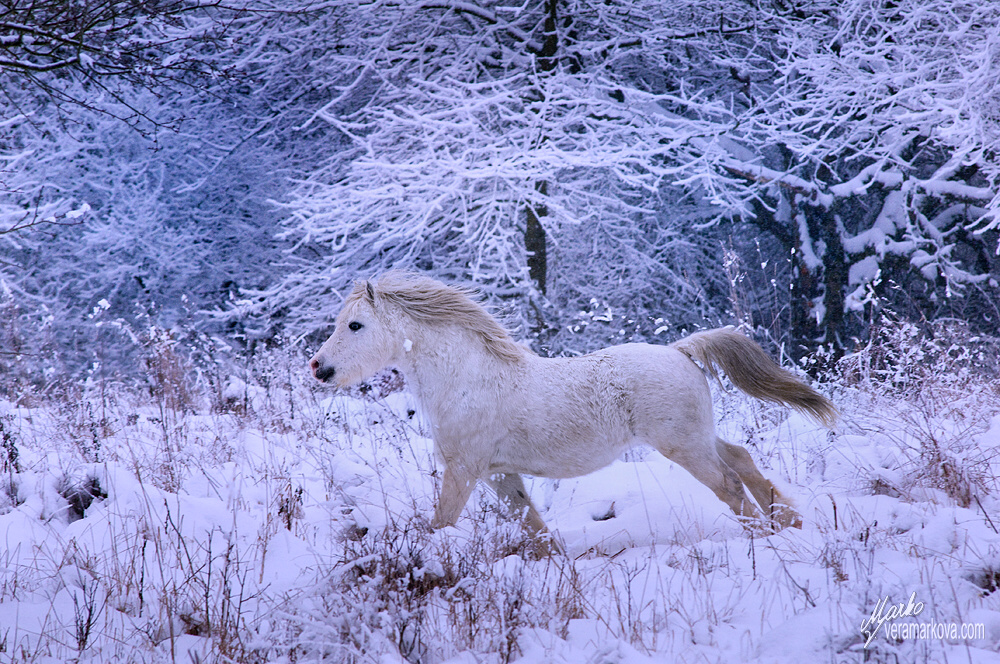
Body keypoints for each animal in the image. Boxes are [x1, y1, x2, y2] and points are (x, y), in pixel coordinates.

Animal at [310, 272, 836, 544]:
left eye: (355, 325)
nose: (318, 367)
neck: (466, 379)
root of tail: (681, 351)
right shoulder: (500, 474)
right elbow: (533, 527)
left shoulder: (463, 470)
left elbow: (440, 524)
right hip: (697, 438)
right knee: (742, 458)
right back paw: (789, 523)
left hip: (684, 447)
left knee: (728, 484)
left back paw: (763, 536)